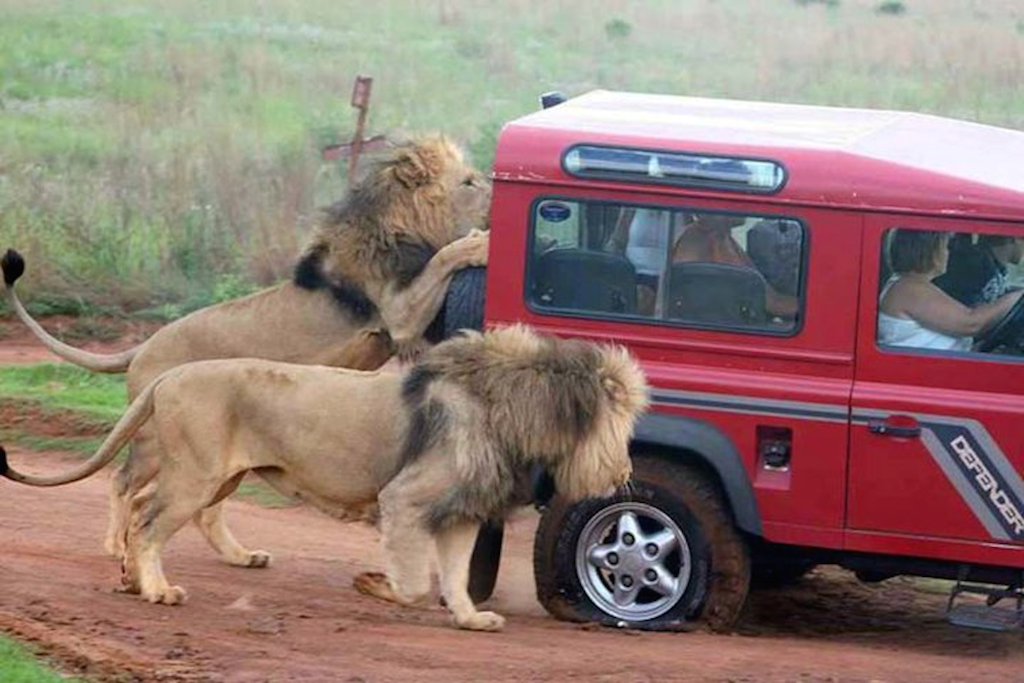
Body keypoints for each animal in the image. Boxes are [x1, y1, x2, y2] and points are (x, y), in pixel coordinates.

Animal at [0, 136, 495, 569]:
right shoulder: (397, 313)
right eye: (469, 182)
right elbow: (443, 258)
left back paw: (239, 556)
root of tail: (143, 346)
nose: (494, 189)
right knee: (125, 483)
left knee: (202, 508)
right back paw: (117, 547)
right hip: (155, 441)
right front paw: (477, 243)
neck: (401, 223)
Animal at [0, 323, 647, 634]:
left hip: (214, 475)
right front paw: (372, 584)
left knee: (150, 510)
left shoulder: (460, 511)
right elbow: (415, 582)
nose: (623, 472)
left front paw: (470, 620)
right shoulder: (405, 499)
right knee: (148, 521)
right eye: (619, 422)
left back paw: (139, 579)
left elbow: (457, 577)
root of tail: (170, 374)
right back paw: (157, 589)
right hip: (195, 474)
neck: (507, 410)